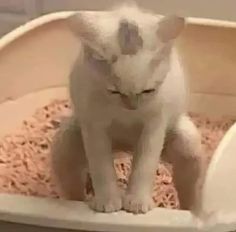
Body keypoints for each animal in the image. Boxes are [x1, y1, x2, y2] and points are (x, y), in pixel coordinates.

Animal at [51, 3, 205, 214]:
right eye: (114, 91)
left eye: (148, 90)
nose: (132, 106)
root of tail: (125, 148)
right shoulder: (93, 123)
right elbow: (100, 163)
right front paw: (107, 200)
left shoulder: (155, 122)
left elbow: (145, 162)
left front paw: (137, 201)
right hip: (68, 139)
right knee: (73, 184)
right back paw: (81, 201)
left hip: (185, 143)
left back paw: (187, 211)